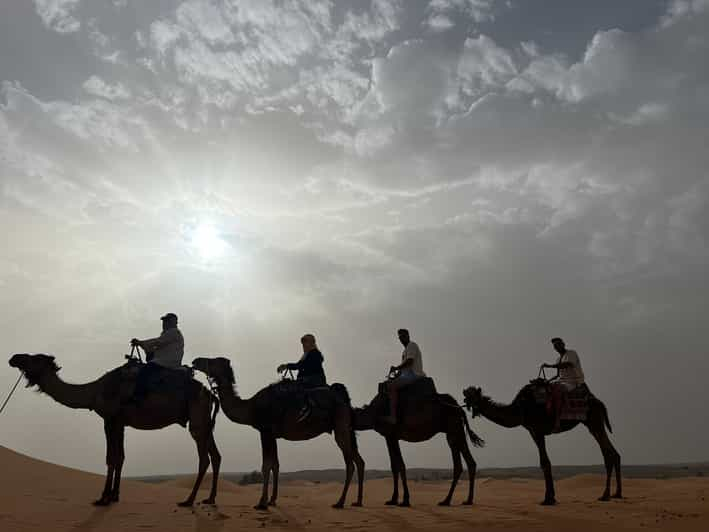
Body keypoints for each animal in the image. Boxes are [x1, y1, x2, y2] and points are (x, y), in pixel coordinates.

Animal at [8, 354, 218, 508]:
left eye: (35, 358)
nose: (14, 358)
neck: (94, 392)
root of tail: (211, 394)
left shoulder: (109, 419)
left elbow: (111, 458)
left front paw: (103, 498)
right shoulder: (120, 423)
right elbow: (120, 457)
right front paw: (115, 496)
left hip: (197, 418)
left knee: (204, 458)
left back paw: (189, 500)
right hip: (205, 421)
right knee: (215, 455)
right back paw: (210, 499)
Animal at [191, 356, 362, 510]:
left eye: (213, 360)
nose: (195, 361)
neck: (251, 407)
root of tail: (344, 400)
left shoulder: (265, 430)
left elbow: (266, 465)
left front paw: (261, 503)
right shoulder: (272, 434)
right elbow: (275, 464)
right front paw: (271, 500)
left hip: (340, 427)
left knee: (350, 464)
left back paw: (340, 502)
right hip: (346, 429)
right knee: (359, 460)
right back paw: (358, 501)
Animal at [352, 382, 482, 508]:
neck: (373, 412)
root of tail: (459, 409)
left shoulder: (392, 435)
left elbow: (400, 465)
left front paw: (405, 500)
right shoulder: (388, 437)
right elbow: (394, 466)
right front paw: (393, 499)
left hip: (453, 428)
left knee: (460, 464)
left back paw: (447, 500)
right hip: (455, 431)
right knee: (468, 462)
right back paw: (465, 500)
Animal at [462, 384, 616, 504]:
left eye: (473, 396)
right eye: (466, 396)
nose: (465, 403)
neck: (519, 409)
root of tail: (599, 402)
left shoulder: (537, 430)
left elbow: (545, 462)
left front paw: (548, 499)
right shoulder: (532, 431)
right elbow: (544, 462)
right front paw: (551, 497)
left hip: (594, 421)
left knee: (608, 453)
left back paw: (605, 495)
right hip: (593, 423)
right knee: (611, 452)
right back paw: (614, 494)